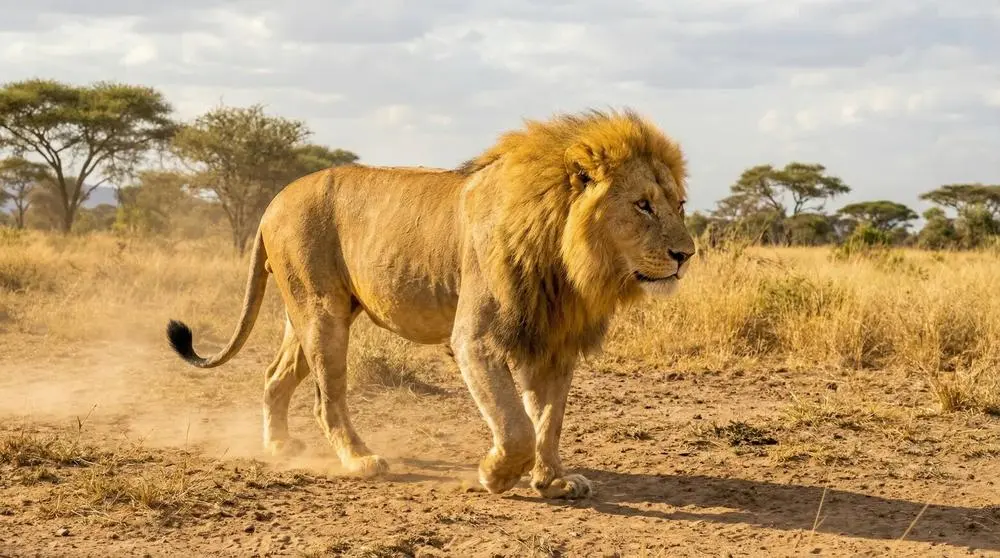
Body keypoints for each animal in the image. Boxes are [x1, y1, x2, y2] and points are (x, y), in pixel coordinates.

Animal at [166, 108, 695, 500]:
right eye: (643, 205)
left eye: (679, 205)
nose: (685, 254)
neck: (567, 262)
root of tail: (273, 201)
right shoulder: (476, 340)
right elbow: (516, 426)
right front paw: (496, 474)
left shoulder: (553, 342)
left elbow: (548, 421)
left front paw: (554, 481)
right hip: (321, 313)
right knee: (326, 399)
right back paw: (359, 461)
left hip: (310, 313)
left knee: (275, 377)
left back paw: (278, 447)